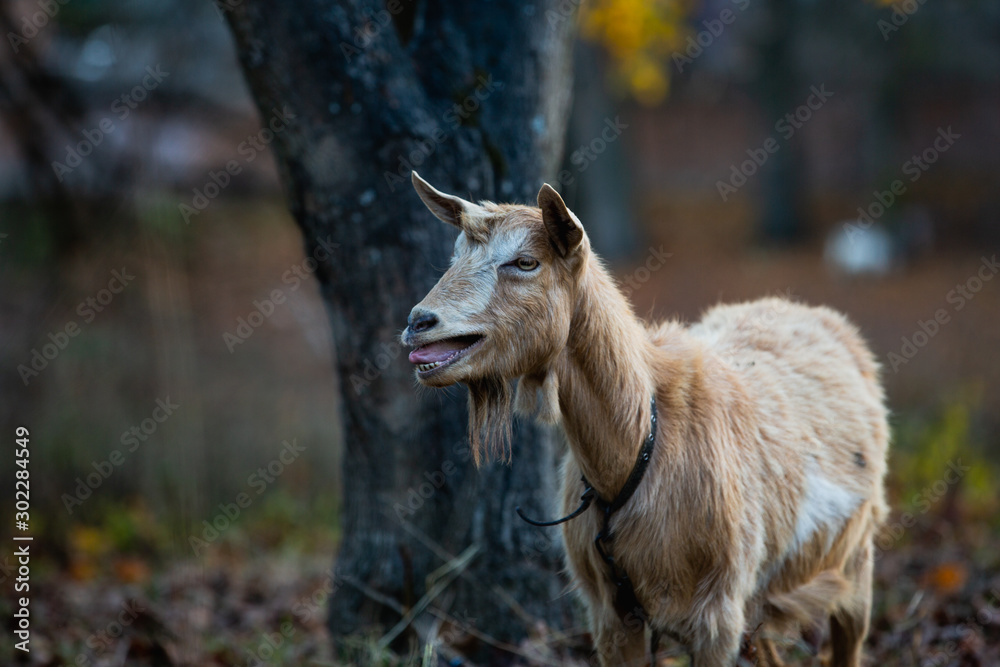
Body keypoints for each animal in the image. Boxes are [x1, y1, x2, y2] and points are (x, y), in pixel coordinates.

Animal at [402, 174, 888, 667]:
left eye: (525, 262)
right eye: (454, 256)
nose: (419, 322)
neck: (640, 447)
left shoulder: (717, 614)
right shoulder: (611, 613)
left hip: (857, 560)